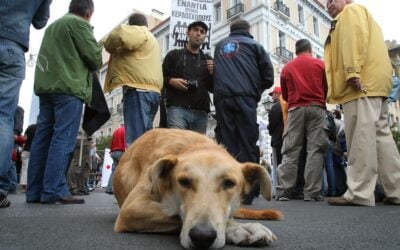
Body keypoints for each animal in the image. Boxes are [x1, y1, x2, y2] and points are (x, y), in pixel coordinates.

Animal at [112, 128, 282, 249]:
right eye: (184, 181)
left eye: (229, 183)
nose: (202, 236)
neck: (195, 145)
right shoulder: (131, 208)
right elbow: (175, 215)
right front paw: (239, 228)